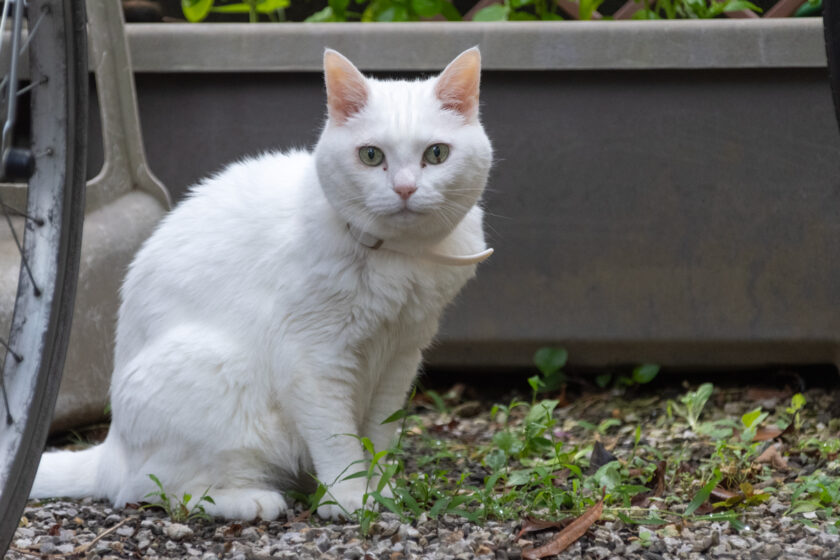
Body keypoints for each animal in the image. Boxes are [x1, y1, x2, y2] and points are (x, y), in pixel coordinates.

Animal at [31, 47, 492, 520]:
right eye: (370, 155)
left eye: (436, 154)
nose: (404, 188)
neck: (398, 258)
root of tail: (110, 449)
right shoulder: (314, 360)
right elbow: (336, 439)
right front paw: (348, 496)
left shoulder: (400, 356)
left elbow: (376, 437)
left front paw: (379, 490)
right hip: (217, 377)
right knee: (149, 490)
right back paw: (254, 500)